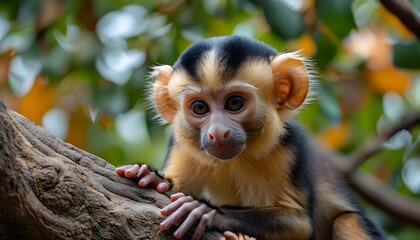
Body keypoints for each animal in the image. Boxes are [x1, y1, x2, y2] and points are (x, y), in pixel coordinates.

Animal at [115, 35, 384, 240]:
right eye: (200, 108)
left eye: (235, 103)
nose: (217, 132)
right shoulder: (182, 144)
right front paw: (149, 176)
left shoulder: (288, 149)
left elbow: (300, 226)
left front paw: (204, 210)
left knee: (347, 220)